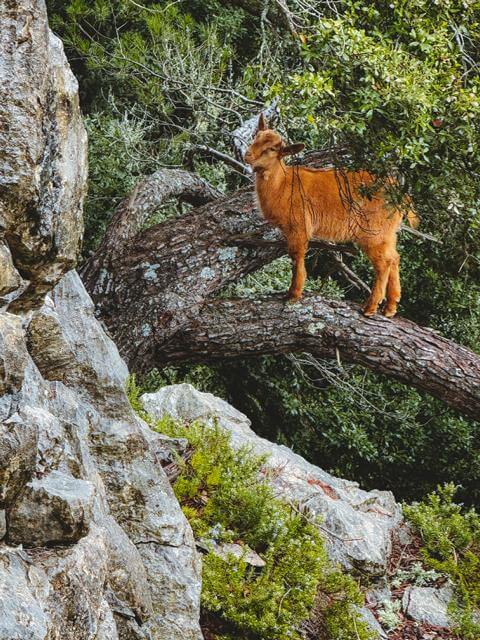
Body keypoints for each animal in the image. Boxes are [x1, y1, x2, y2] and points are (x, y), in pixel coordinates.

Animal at [244, 115, 416, 318]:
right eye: (256, 136)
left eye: (272, 149)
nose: (248, 155)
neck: (283, 185)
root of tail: (401, 198)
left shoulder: (299, 226)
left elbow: (296, 256)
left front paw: (293, 294)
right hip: (388, 233)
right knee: (394, 257)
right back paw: (390, 307)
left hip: (373, 231)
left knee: (383, 263)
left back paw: (370, 307)